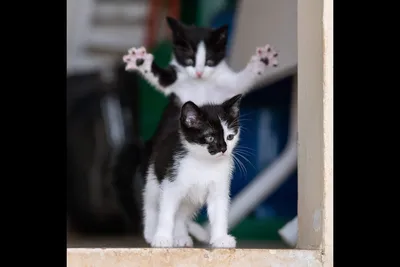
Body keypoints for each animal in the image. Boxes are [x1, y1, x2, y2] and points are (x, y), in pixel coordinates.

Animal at [122, 16, 278, 107]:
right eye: (189, 60)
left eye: (209, 61)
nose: (199, 73)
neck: (201, 83)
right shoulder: (176, 85)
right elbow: (161, 78)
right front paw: (141, 61)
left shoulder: (229, 88)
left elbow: (241, 81)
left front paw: (262, 60)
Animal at [144, 94, 244, 249]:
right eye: (210, 138)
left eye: (230, 137)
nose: (223, 149)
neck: (204, 163)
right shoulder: (171, 183)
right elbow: (166, 212)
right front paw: (162, 238)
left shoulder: (219, 189)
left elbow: (219, 214)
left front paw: (221, 238)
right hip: (154, 177)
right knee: (152, 204)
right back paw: (150, 233)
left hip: (190, 200)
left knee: (180, 214)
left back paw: (180, 236)